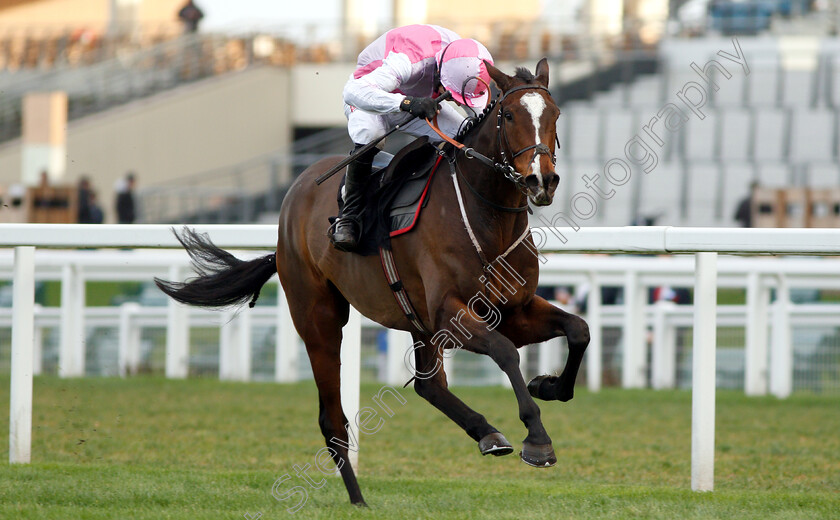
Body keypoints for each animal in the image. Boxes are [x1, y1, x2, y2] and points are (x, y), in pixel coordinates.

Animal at [158, 59, 592, 506]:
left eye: (555, 115)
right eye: (508, 116)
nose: (542, 181)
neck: (489, 221)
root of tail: (295, 192)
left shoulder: (513, 309)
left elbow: (579, 329)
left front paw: (549, 385)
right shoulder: (451, 312)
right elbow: (505, 352)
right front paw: (537, 438)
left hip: (417, 323)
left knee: (429, 387)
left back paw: (486, 433)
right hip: (319, 319)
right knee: (332, 419)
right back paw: (357, 498)